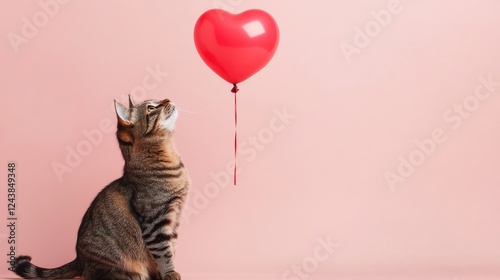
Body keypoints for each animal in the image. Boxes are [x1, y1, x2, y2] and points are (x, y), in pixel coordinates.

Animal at [12, 97, 191, 280]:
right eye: (151, 108)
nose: (168, 99)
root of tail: (79, 259)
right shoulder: (155, 221)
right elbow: (163, 252)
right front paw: (169, 273)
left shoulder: (174, 218)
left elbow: (171, 248)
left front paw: (162, 273)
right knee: (94, 274)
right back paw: (130, 274)